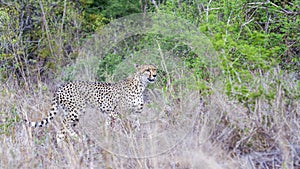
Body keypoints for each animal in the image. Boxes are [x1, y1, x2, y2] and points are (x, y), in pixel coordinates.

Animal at [25, 64, 157, 143]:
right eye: (147, 70)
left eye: (154, 69)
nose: (155, 75)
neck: (140, 85)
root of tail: (61, 86)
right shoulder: (116, 112)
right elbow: (121, 125)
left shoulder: (133, 113)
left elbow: (135, 126)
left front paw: (137, 138)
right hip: (77, 110)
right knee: (64, 124)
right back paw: (72, 139)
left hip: (71, 112)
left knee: (65, 128)